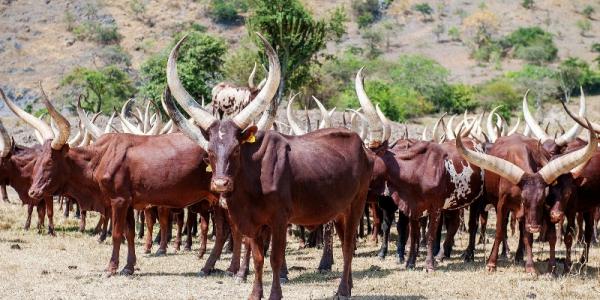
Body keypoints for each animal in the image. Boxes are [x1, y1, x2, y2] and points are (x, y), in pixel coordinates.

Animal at [164, 32, 370, 300]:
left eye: (237, 149)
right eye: (209, 152)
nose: (220, 184)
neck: (251, 183)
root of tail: (360, 143)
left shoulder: (279, 220)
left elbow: (275, 259)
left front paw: (274, 293)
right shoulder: (252, 223)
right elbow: (258, 258)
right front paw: (255, 293)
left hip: (356, 204)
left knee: (347, 247)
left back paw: (343, 290)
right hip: (340, 210)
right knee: (345, 242)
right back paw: (350, 285)